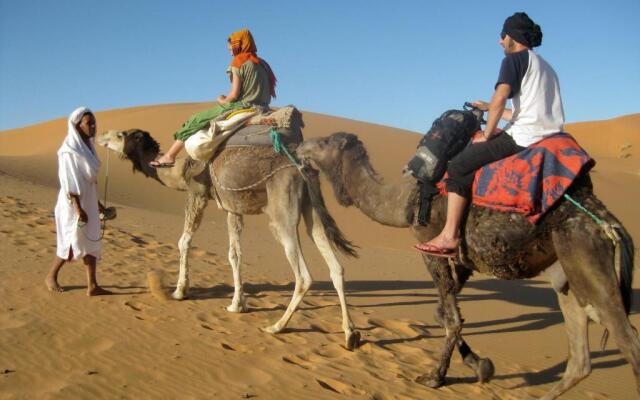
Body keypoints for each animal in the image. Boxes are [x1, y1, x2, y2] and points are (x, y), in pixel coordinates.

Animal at [97, 126, 362, 348]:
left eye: (120, 135)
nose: (100, 137)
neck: (179, 170)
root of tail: (305, 169)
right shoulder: (231, 208)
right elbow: (235, 254)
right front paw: (237, 304)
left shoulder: (198, 193)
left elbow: (184, 241)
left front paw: (180, 291)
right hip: (312, 209)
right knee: (336, 266)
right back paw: (350, 334)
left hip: (282, 213)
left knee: (304, 276)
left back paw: (276, 326)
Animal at [298, 131, 636, 400]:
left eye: (325, 142)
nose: (301, 145)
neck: (403, 201)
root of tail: (608, 223)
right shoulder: (463, 261)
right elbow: (443, 313)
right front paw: (482, 366)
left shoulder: (430, 246)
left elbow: (451, 318)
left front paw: (436, 377)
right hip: (568, 275)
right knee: (580, 359)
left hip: (586, 255)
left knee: (628, 340)